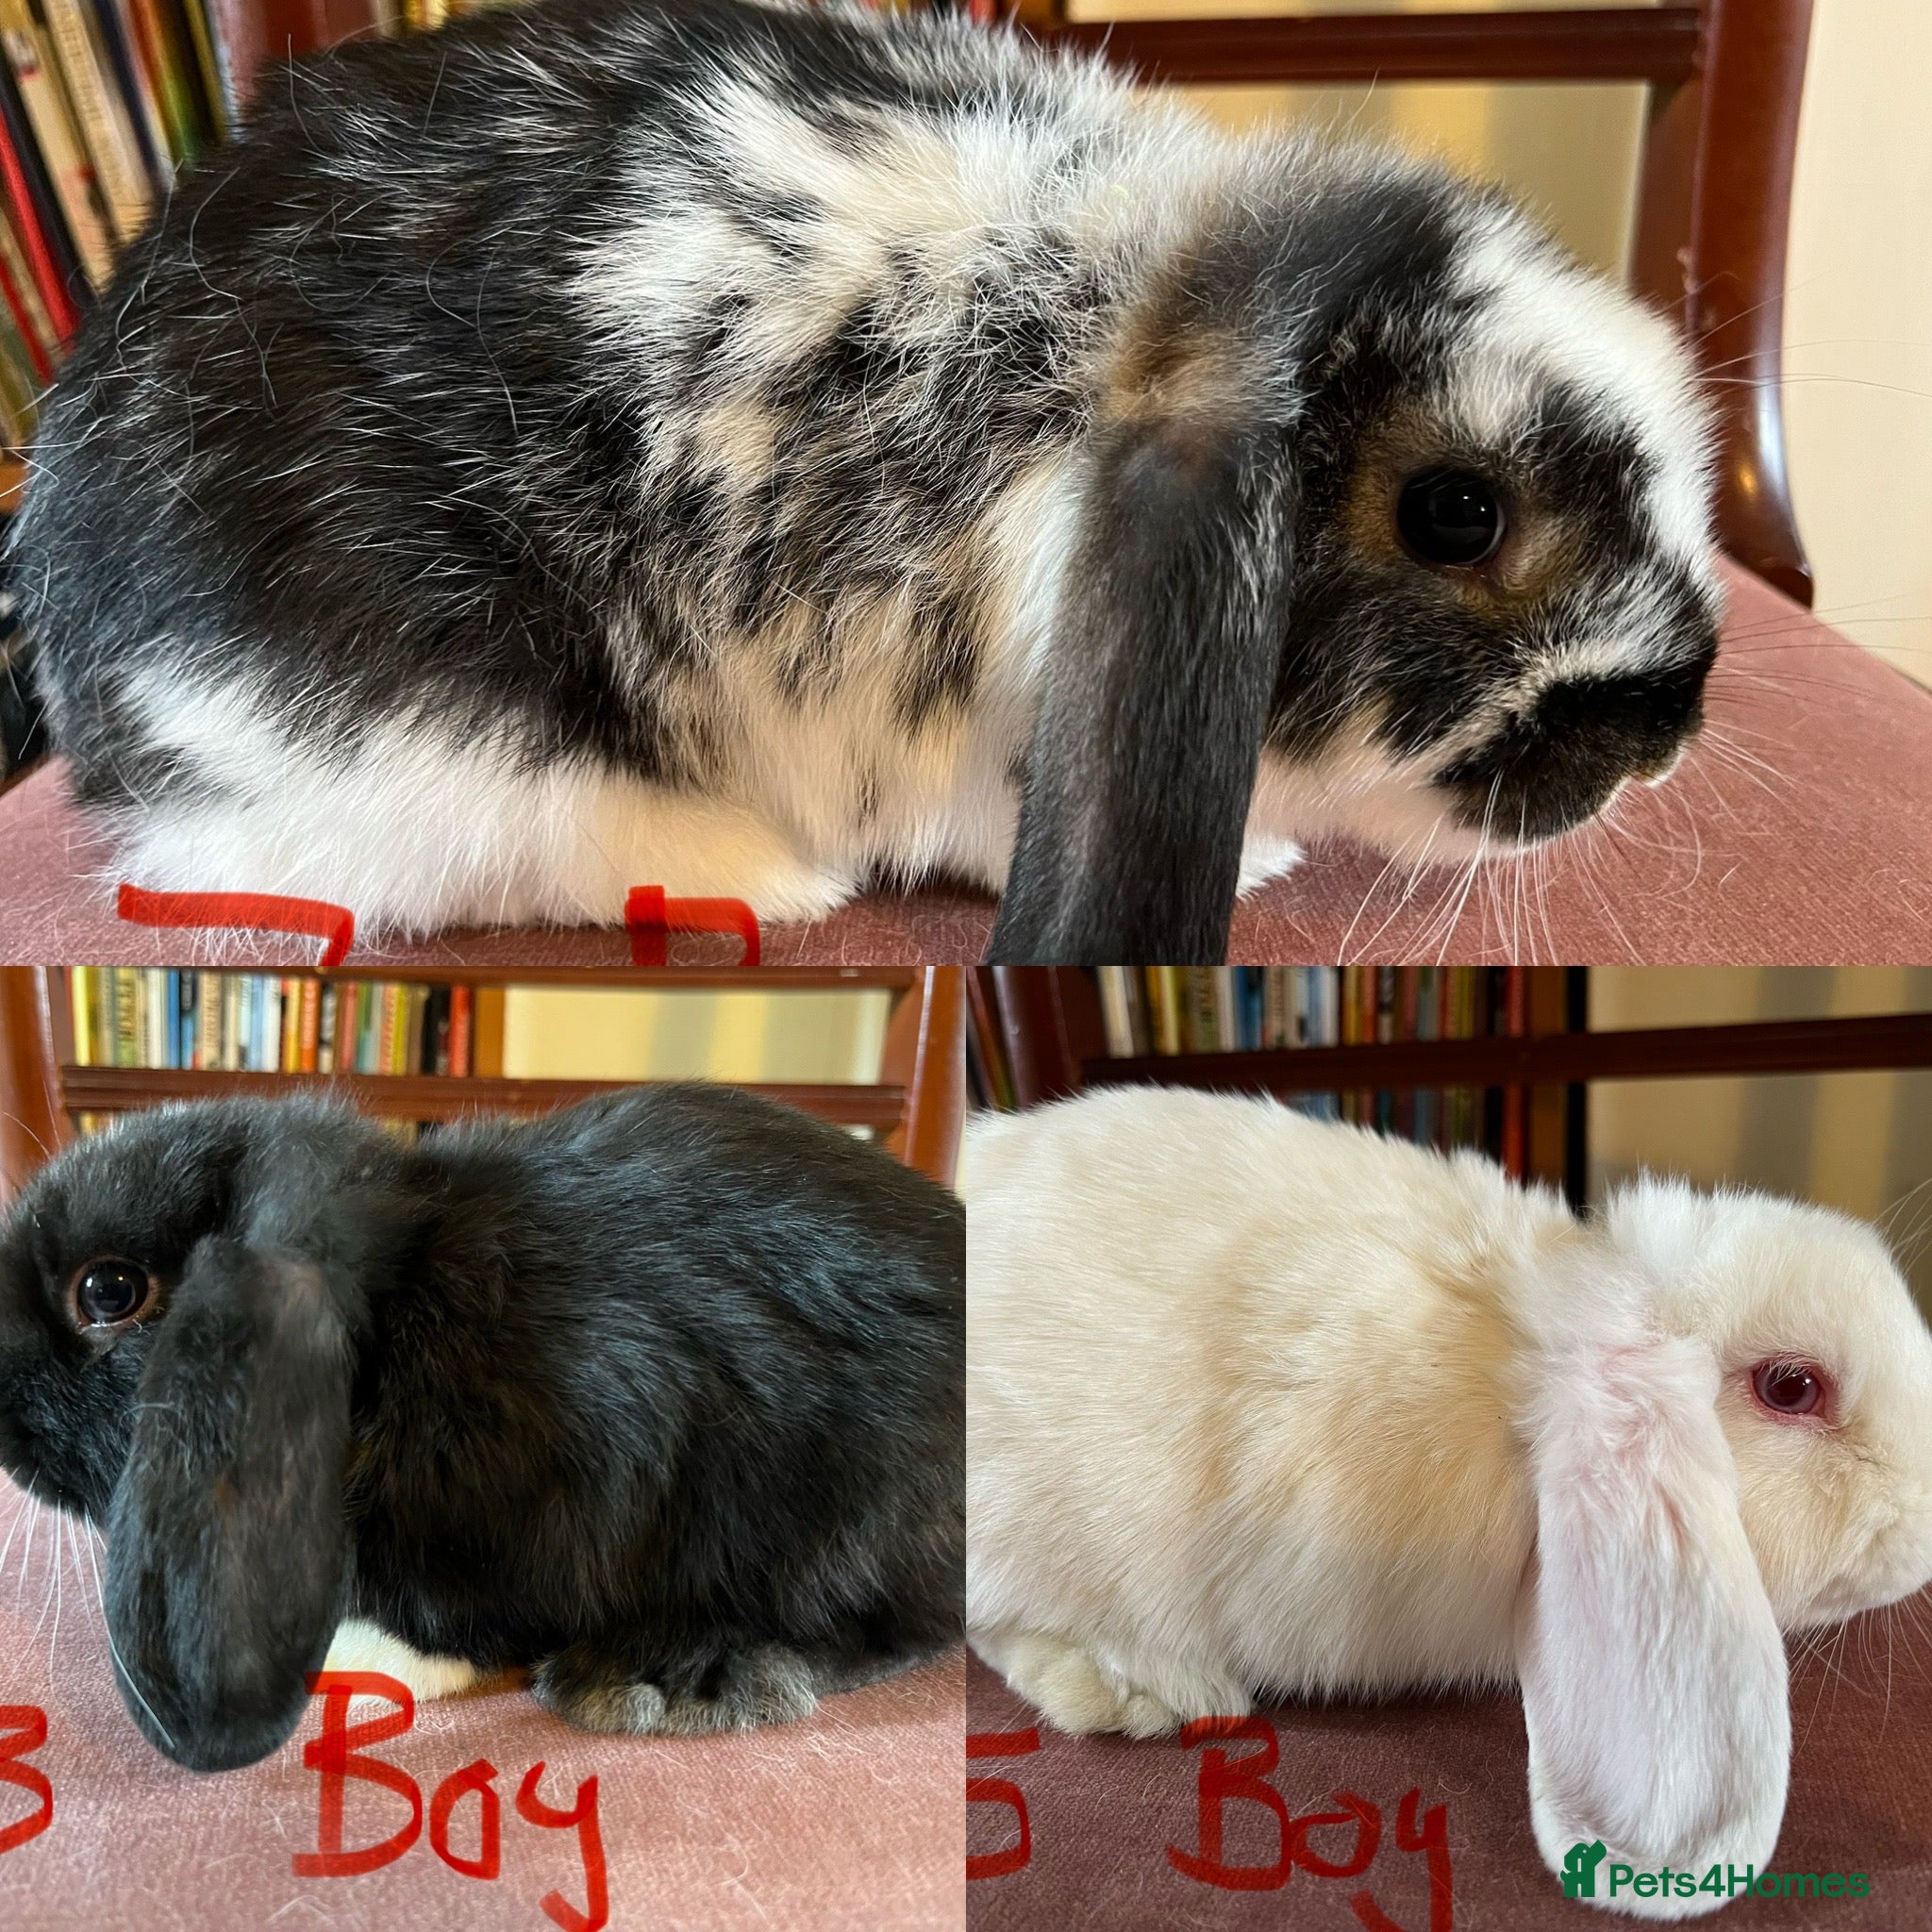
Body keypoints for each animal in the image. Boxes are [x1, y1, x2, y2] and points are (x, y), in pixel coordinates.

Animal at [0, 1084, 964, 1773]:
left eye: (109, 1291)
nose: (8, 1432)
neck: (388, 1340)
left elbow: (468, 1624)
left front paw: (364, 1662)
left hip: (858, 1518)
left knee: (886, 1629)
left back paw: (672, 1677)